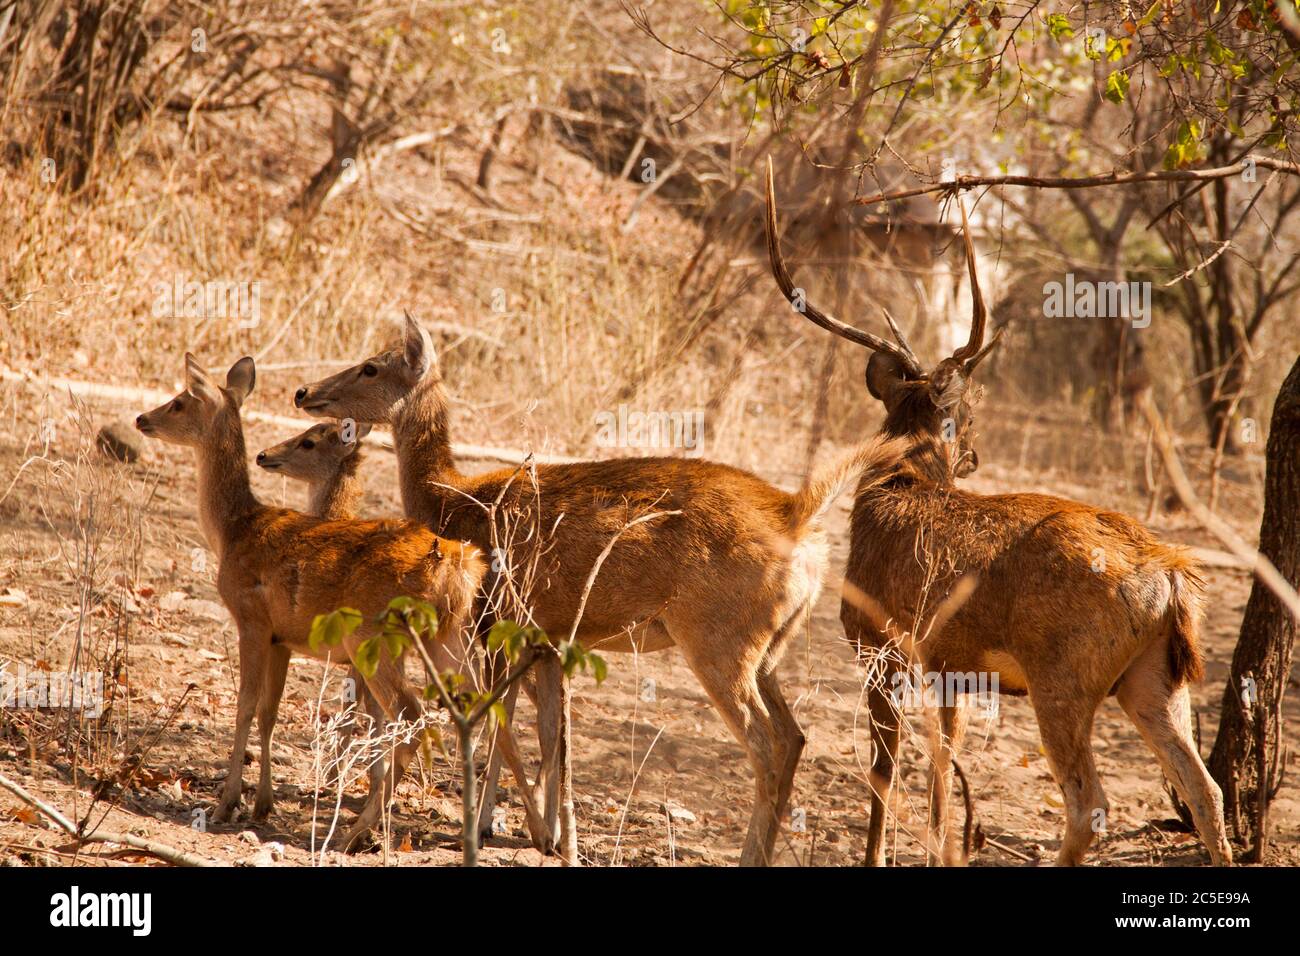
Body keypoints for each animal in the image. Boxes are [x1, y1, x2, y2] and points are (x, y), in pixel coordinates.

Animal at [134, 356, 486, 848]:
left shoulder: (252, 619)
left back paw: (354, 833)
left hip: (375, 636)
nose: (141, 418)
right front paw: (262, 804)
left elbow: (244, 705)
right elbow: (269, 711)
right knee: (469, 712)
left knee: (411, 715)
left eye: (180, 401)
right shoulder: (282, 638)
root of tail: (457, 564)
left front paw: (227, 803)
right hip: (448, 637)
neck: (234, 529)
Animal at [292, 314, 904, 868]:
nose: (303, 391)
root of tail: (798, 517)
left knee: (766, 745)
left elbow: (503, 722)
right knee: (795, 736)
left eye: (371, 366)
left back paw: (751, 856)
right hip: (770, 650)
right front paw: (543, 834)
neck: (455, 502)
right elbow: (546, 732)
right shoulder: (545, 636)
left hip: (719, 643)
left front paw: (501, 828)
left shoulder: (496, 621)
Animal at [764, 162, 1232, 868]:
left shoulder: (877, 641)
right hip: (1153, 679)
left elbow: (884, 771)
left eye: (963, 412)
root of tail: (1172, 577)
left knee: (1089, 800)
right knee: (1204, 788)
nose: (975, 453)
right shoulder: (950, 667)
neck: (895, 486)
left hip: (1063, 676)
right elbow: (940, 771)